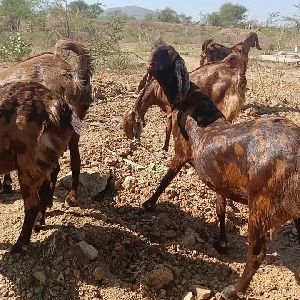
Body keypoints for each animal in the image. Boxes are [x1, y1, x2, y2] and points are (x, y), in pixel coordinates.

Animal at [0, 80, 80, 253]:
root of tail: (57, 107)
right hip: (43, 162)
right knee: (45, 190)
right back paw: (39, 223)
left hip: (27, 163)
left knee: (32, 204)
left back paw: (19, 245)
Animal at [143, 44, 300, 298]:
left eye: (160, 59)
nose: (148, 66)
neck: (194, 105)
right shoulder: (220, 179)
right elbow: (220, 207)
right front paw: (222, 242)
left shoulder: (181, 153)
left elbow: (167, 177)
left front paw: (148, 203)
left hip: (260, 206)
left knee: (256, 254)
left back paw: (233, 290)